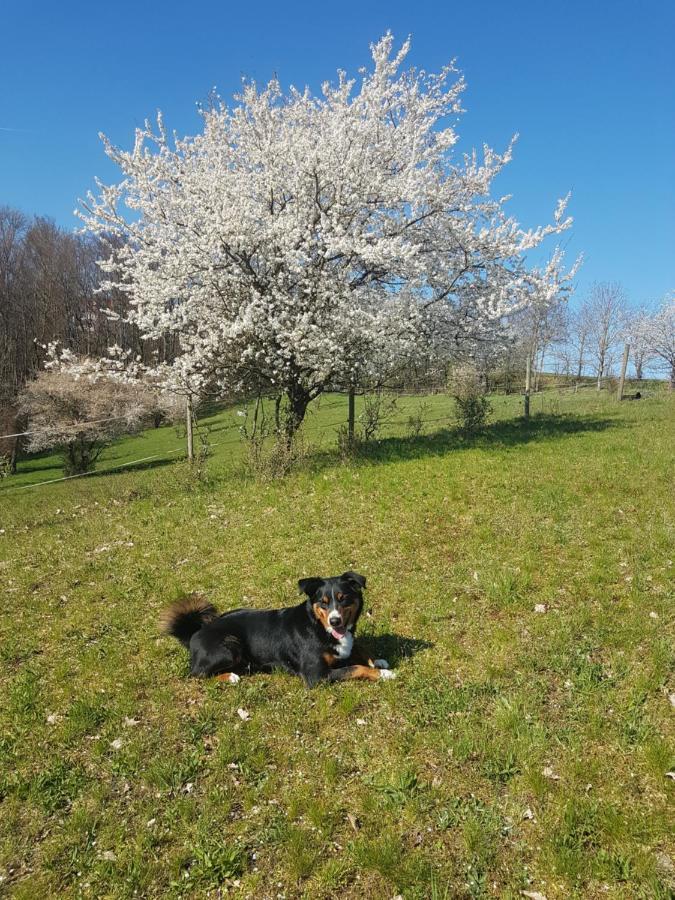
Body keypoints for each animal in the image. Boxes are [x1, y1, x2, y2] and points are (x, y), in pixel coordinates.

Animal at [160, 572, 394, 684]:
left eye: (343, 598)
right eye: (323, 602)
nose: (335, 621)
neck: (318, 625)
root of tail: (195, 632)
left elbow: (359, 648)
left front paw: (378, 661)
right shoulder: (316, 675)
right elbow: (354, 668)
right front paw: (383, 674)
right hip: (229, 648)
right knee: (196, 674)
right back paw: (230, 677)